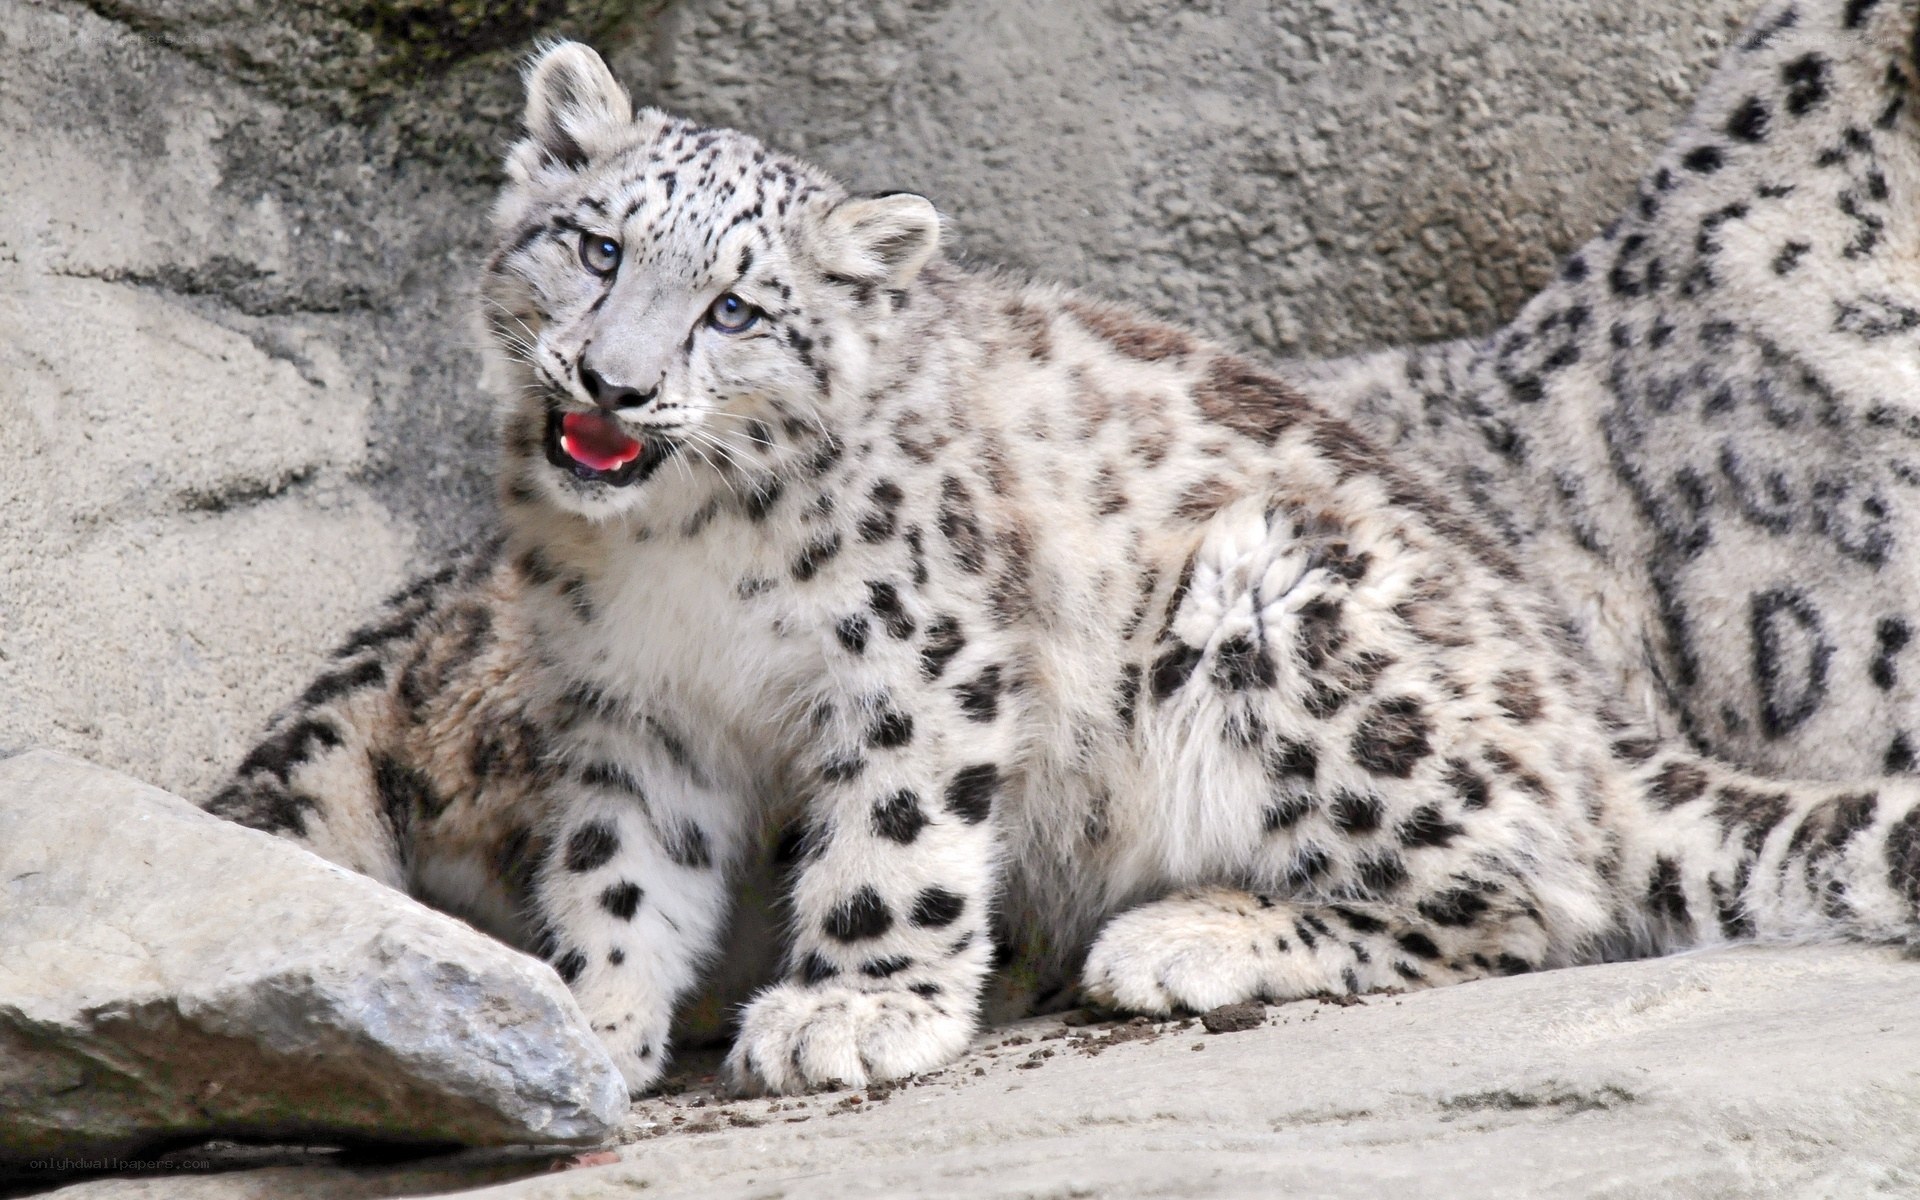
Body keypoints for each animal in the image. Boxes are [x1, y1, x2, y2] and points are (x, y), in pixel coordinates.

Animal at [209, 27, 1920, 1099]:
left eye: (738, 309)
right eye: (598, 246)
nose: (613, 386)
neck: (678, 560)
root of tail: (1582, 711)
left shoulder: (919, 652)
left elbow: (895, 839)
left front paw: (849, 1012)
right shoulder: (634, 710)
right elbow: (625, 868)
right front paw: (593, 1017)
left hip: (1283, 608)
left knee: (1527, 895)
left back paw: (1187, 937)